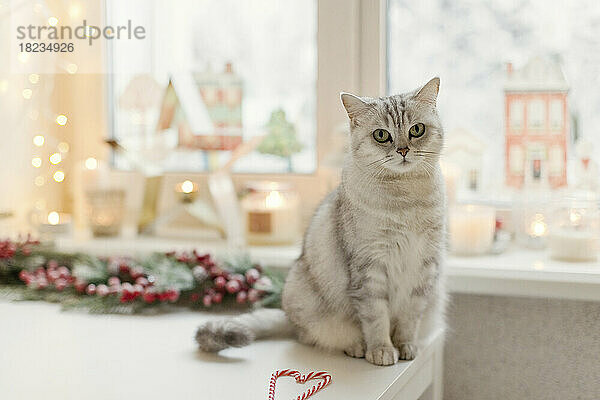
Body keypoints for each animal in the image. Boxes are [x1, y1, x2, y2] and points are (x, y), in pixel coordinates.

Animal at [196, 77, 446, 366]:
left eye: (417, 130)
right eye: (381, 135)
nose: (404, 150)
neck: (405, 197)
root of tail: (288, 316)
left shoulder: (424, 269)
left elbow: (408, 318)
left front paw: (406, 346)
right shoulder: (369, 267)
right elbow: (376, 318)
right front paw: (382, 349)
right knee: (311, 336)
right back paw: (356, 346)